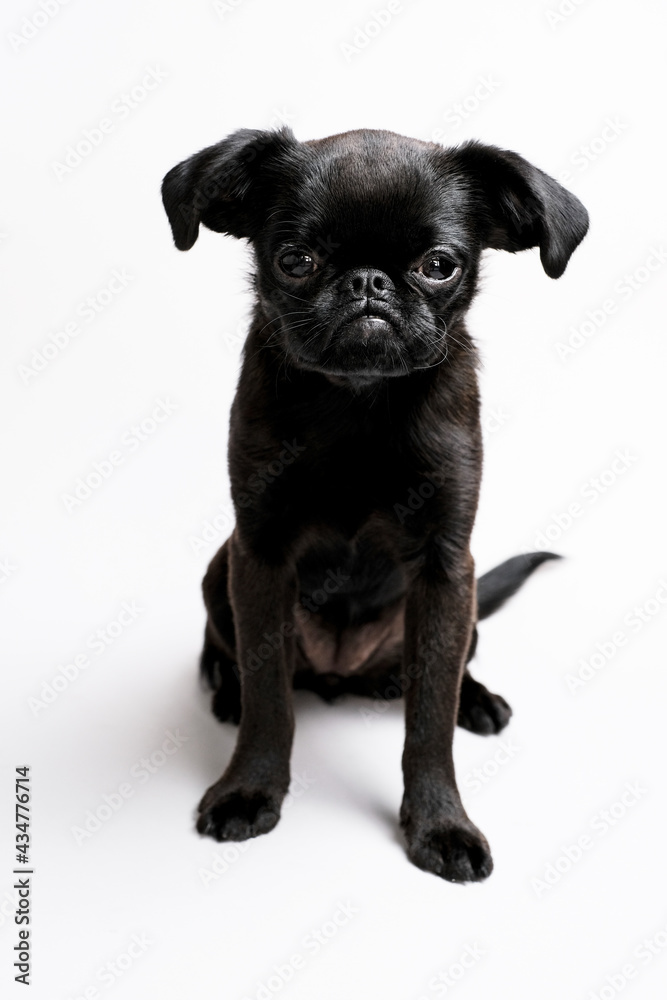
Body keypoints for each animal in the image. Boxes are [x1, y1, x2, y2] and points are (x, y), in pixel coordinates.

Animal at [163, 127, 588, 884]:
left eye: (438, 265)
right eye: (295, 261)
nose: (368, 283)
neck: (357, 402)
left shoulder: (447, 567)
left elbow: (429, 723)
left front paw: (440, 824)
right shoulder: (259, 552)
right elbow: (270, 697)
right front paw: (249, 788)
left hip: (464, 598)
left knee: (449, 671)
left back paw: (474, 699)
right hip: (221, 567)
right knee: (236, 651)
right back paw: (224, 684)